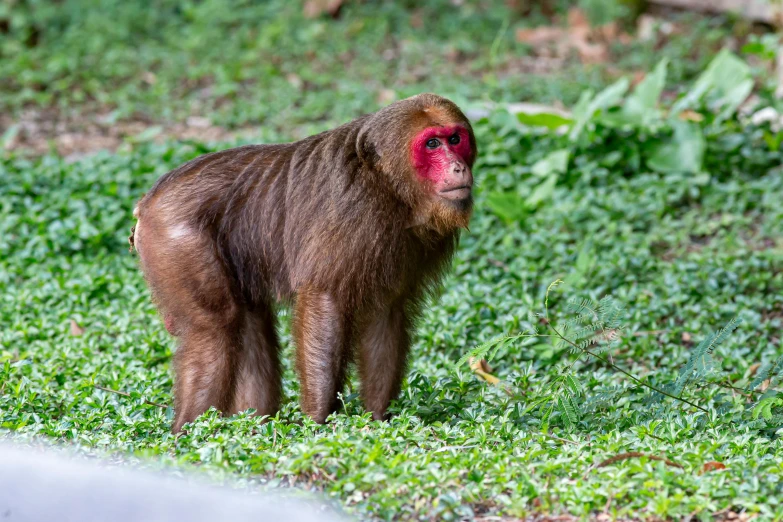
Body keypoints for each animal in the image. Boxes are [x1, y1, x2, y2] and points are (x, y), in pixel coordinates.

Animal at [132, 93, 478, 430]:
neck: (389, 187)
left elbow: (386, 313)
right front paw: (317, 424)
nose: (458, 167)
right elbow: (324, 301)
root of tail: (148, 201)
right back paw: (187, 433)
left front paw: (380, 421)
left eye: (455, 139)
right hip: (174, 236)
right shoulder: (354, 211)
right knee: (216, 326)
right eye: (432, 144)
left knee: (248, 319)